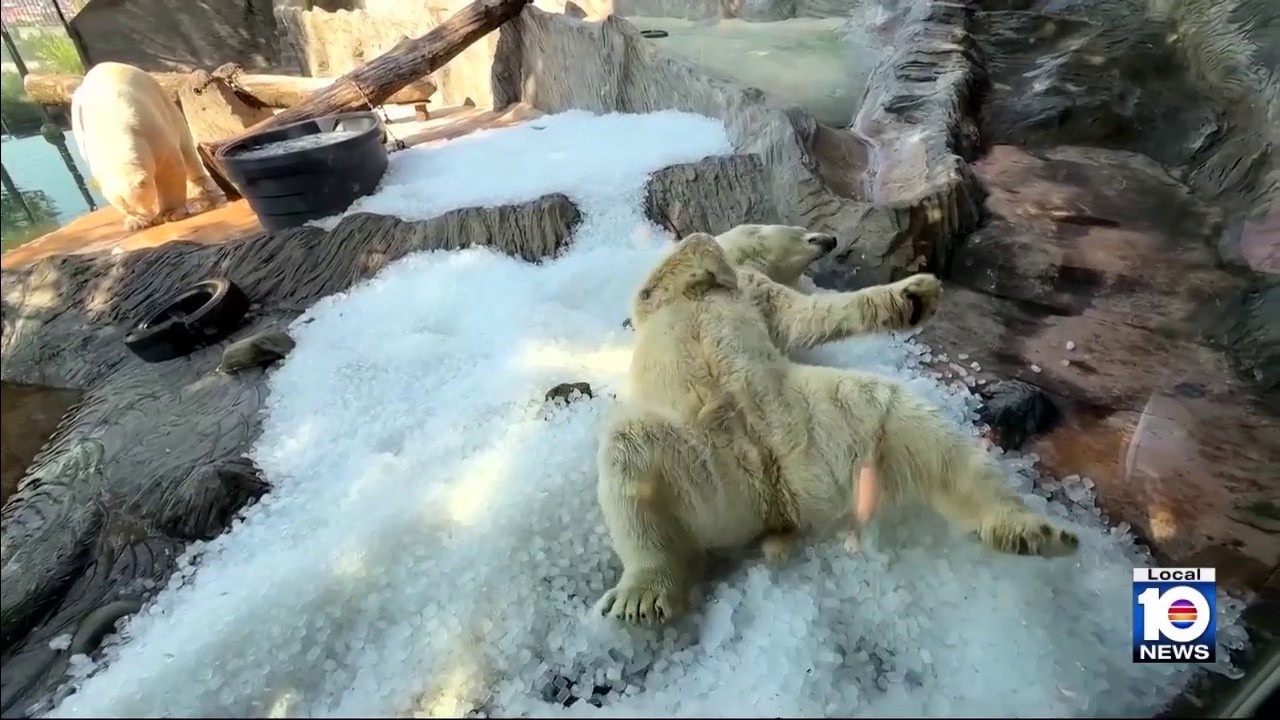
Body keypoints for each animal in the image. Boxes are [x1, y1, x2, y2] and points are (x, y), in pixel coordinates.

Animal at [71, 61, 226, 232]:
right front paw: (134, 222)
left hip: (163, 101)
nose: (144, 220)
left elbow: (169, 168)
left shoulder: (148, 129)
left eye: (139, 202)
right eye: (126, 208)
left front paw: (169, 214)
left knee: (186, 147)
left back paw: (202, 186)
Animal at [595, 234, 1079, 626]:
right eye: (805, 234)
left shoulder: (762, 298)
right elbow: (680, 262)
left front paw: (916, 295)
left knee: (914, 426)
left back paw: (1033, 532)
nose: (828, 239)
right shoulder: (669, 293)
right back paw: (643, 593)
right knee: (628, 456)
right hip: (701, 455)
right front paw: (712, 256)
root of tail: (772, 499)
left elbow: (806, 316)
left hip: (825, 423)